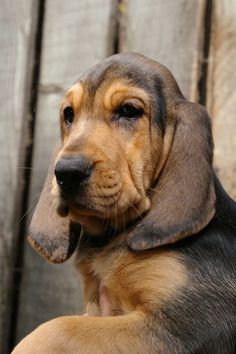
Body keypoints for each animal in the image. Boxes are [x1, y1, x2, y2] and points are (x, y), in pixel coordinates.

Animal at [12, 53, 236, 354]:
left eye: (129, 111)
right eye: (69, 114)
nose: (66, 173)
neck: (113, 236)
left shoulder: (191, 324)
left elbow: (59, 328)